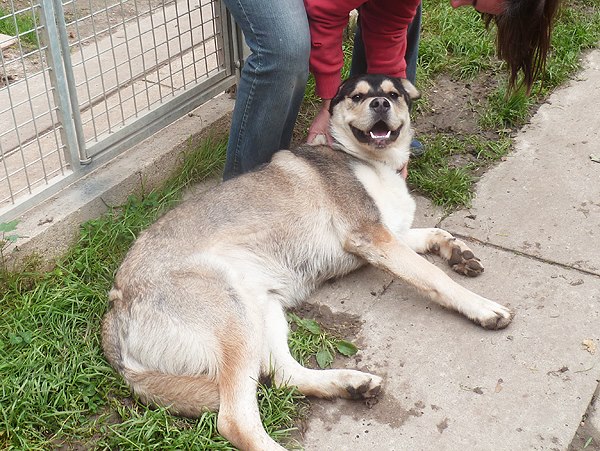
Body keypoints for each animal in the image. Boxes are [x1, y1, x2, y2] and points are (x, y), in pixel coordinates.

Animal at [101, 75, 512, 451]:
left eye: (393, 94)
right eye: (358, 96)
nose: (380, 103)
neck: (368, 161)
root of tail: (116, 305)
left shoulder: (387, 235)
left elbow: (434, 234)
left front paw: (459, 252)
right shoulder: (372, 238)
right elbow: (434, 277)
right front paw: (483, 307)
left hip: (263, 314)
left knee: (284, 376)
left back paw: (351, 383)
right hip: (235, 323)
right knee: (234, 420)